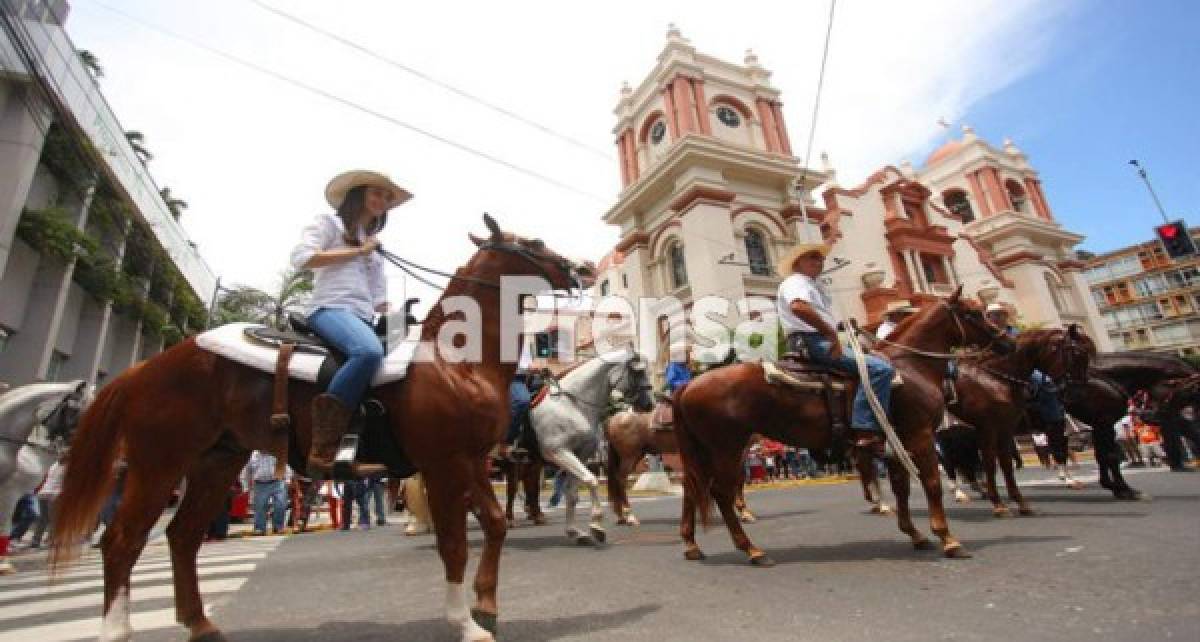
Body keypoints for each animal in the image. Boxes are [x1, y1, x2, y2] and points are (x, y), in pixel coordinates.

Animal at [50, 217, 590, 642]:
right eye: (535, 241)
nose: (582, 268)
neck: (455, 360)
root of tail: (147, 367)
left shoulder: (472, 461)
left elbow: (495, 524)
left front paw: (486, 606)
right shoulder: (444, 465)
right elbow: (454, 543)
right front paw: (466, 624)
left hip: (217, 462)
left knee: (183, 536)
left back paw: (202, 625)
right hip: (159, 464)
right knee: (123, 540)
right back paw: (117, 631)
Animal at [530, 350, 652, 544]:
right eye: (637, 371)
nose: (649, 404)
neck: (570, 405)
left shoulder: (580, 454)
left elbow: (572, 494)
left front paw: (574, 531)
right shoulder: (558, 452)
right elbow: (591, 480)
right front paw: (596, 524)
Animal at [672, 289, 1008, 566]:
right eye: (973, 312)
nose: (1005, 340)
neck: (910, 367)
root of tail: (688, 385)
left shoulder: (893, 442)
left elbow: (901, 487)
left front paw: (915, 534)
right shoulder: (919, 436)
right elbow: (932, 483)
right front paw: (949, 539)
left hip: (706, 452)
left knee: (694, 489)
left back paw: (693, 546)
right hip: (727, 450)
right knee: (721, 493)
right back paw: (752, 550)